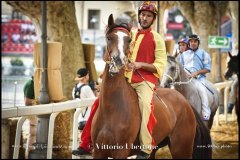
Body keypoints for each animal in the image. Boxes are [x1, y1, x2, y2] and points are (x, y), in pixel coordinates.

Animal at [91, 14, 211, 159]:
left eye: (128, 39)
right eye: (109, 37)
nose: (118, 61)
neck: (112, 109)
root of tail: (185, 102)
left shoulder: (121, 152)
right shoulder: (98, 151)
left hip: (182, 149)